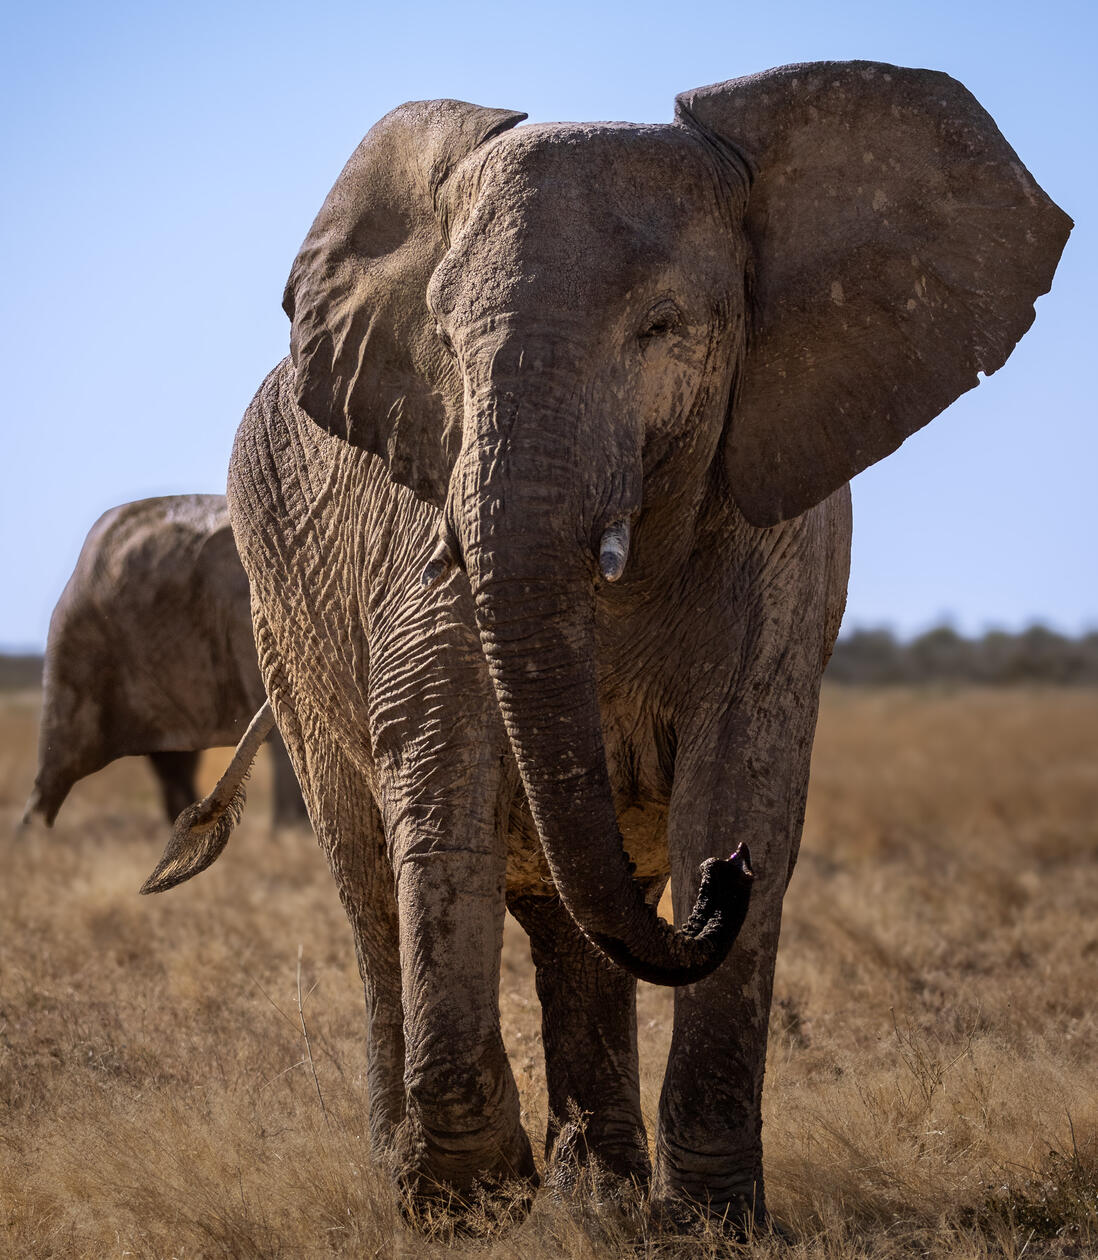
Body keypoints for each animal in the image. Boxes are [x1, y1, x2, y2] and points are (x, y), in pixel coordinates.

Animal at [142, 62, 1069, 1231]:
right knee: (368, 880)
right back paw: (445, 1176)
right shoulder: (423, 531)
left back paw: (605, 1192)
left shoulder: (777, 527)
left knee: (574, 906)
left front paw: (713, 1225)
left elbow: (742, 779)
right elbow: (437, 782)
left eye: (662, 327)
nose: (721, 885)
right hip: (279, 621)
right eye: (442, 340)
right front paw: (468, 1209)